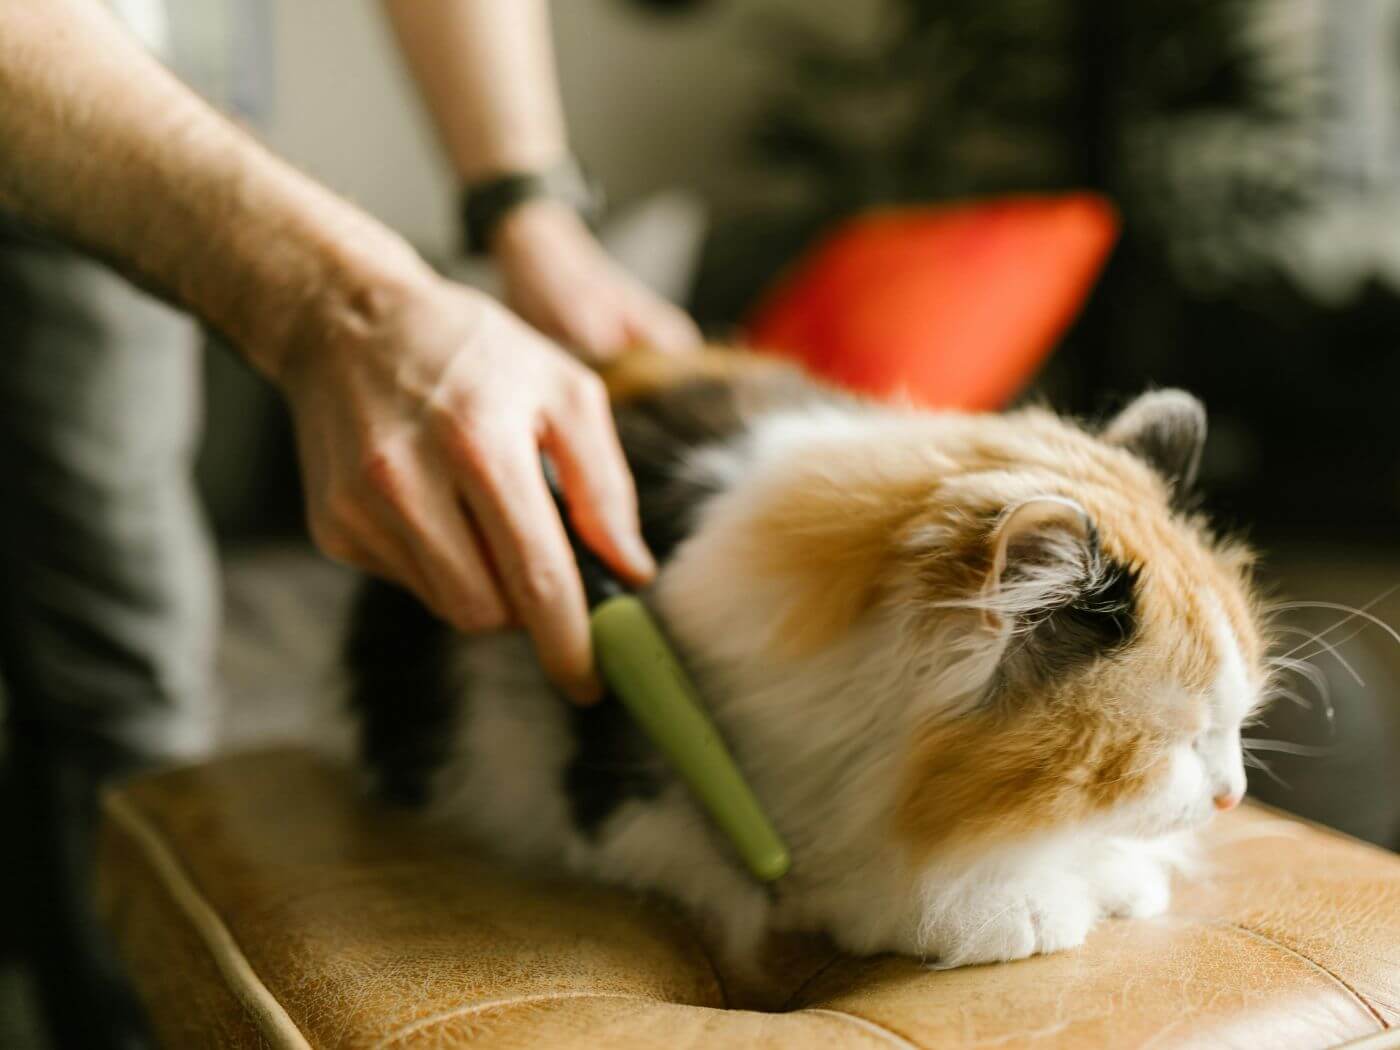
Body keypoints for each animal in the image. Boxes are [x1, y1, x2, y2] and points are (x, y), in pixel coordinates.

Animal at [341, 350, 1271, 974]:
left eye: (1233, 727)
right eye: (1177, 741)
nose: (1233, 795)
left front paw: (1114, 872)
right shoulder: (637, 802)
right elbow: (833, 880)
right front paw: (1022, 905)